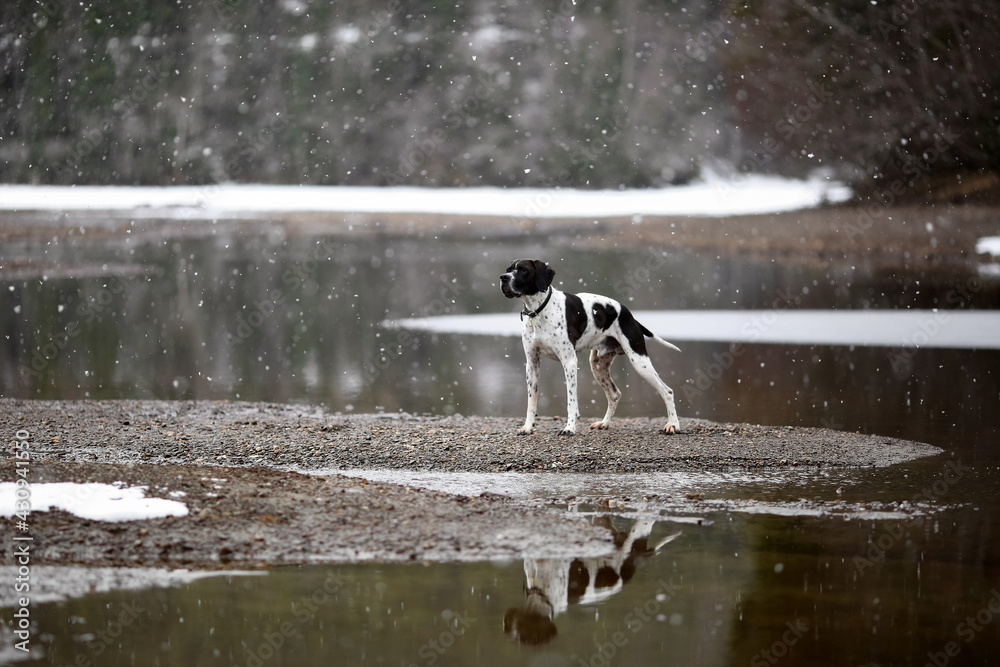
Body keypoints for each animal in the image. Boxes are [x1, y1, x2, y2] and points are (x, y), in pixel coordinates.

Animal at [498, 258, 680, 436]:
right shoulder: (532, 364)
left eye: (523, 270)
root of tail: (629, 314)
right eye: (508, 269)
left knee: (667, 391)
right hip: (598, 366)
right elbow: (532, 401)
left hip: (639, 361)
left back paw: (673, 425)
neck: (539, 310)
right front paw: (528, 427)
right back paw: (604, 423)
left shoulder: (569, 362)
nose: (503, 278)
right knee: (614, 394)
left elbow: (571, 401)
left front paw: (569, 428)